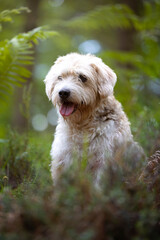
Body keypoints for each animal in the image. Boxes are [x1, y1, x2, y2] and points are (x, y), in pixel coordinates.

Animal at [44, 53, 145, 188]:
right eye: (60, 77)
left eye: (82, 77)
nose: (63, 92)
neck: (82, 125)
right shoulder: (63, 158)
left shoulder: (102, 159)